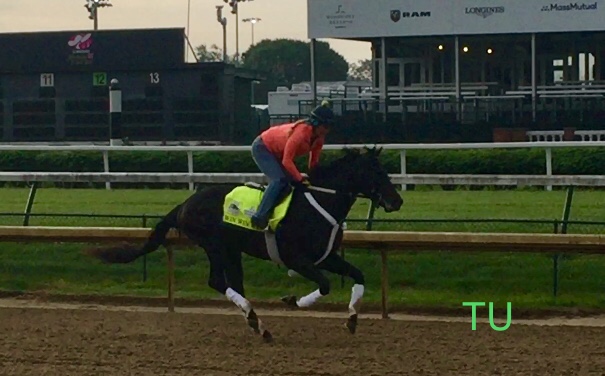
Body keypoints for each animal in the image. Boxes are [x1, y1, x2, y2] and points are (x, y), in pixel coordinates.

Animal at [87, 147, 402, 340]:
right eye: (376, 172)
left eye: (385, 170)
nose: (396, 201)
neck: (320, 202)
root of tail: (185, 204)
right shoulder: (297, 259)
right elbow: (324, 285)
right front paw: (292, 300)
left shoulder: (327, 257)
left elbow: (358, 275)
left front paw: (352, 319)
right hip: (214, 245)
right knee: (217, 281)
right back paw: (256, 322)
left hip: (231, 250)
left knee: (235, 284)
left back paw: (257, 324)